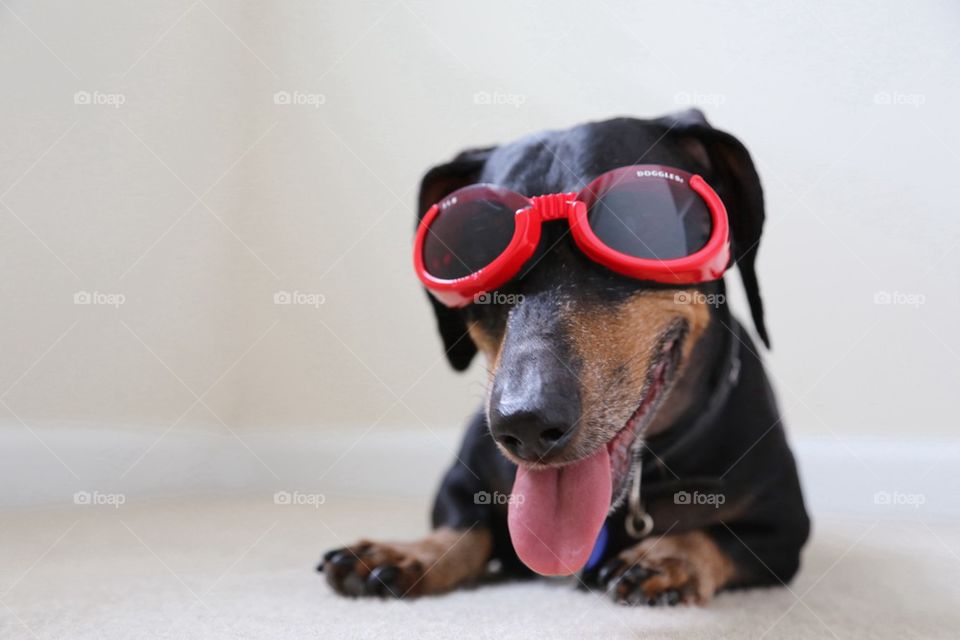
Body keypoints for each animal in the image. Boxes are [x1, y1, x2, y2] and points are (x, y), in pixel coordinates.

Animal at [322, 110, 808, 604]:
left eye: (640, 222)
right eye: (471, 247)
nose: (526, 424)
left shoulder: (784, 525)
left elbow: (714, 537)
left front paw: (665, 560)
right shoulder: (462, 481)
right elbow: (463, 525)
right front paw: (404, 552)